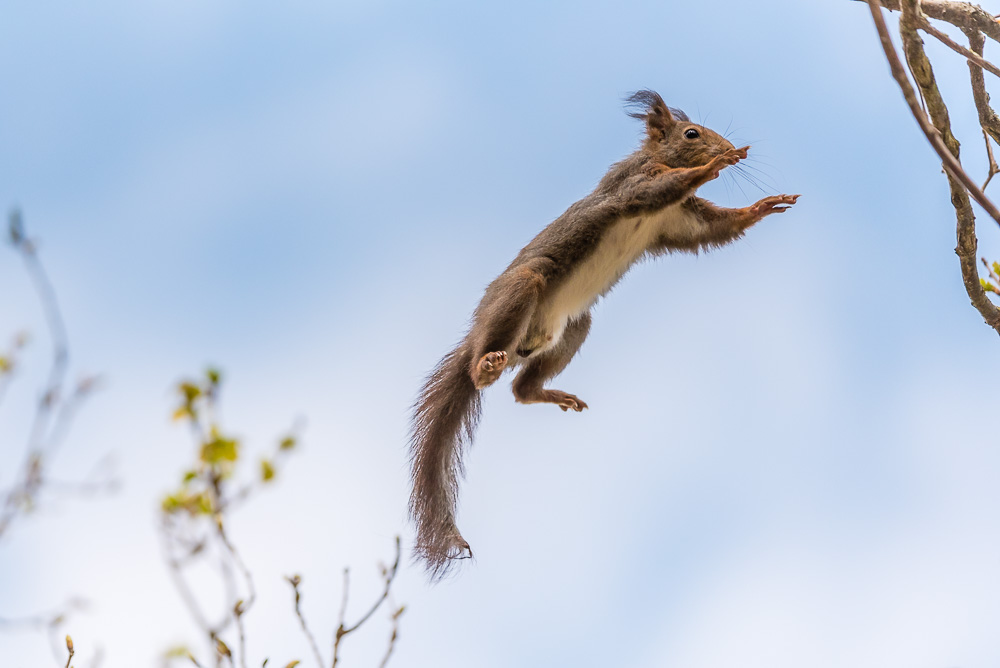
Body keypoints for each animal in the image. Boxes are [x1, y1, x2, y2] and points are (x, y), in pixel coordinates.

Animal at [406, 90, 796, 580]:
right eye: (691, 134)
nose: (728, 149)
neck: (658, 159)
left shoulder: (680, 220)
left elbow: (717, 227)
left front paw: (763, 205)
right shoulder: (633, 186)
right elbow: (655, 191)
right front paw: (711, 167)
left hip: (574, 327)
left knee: (521, 388)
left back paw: (545, 392)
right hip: (521, 290)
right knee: (487, 362)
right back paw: (483, 367)